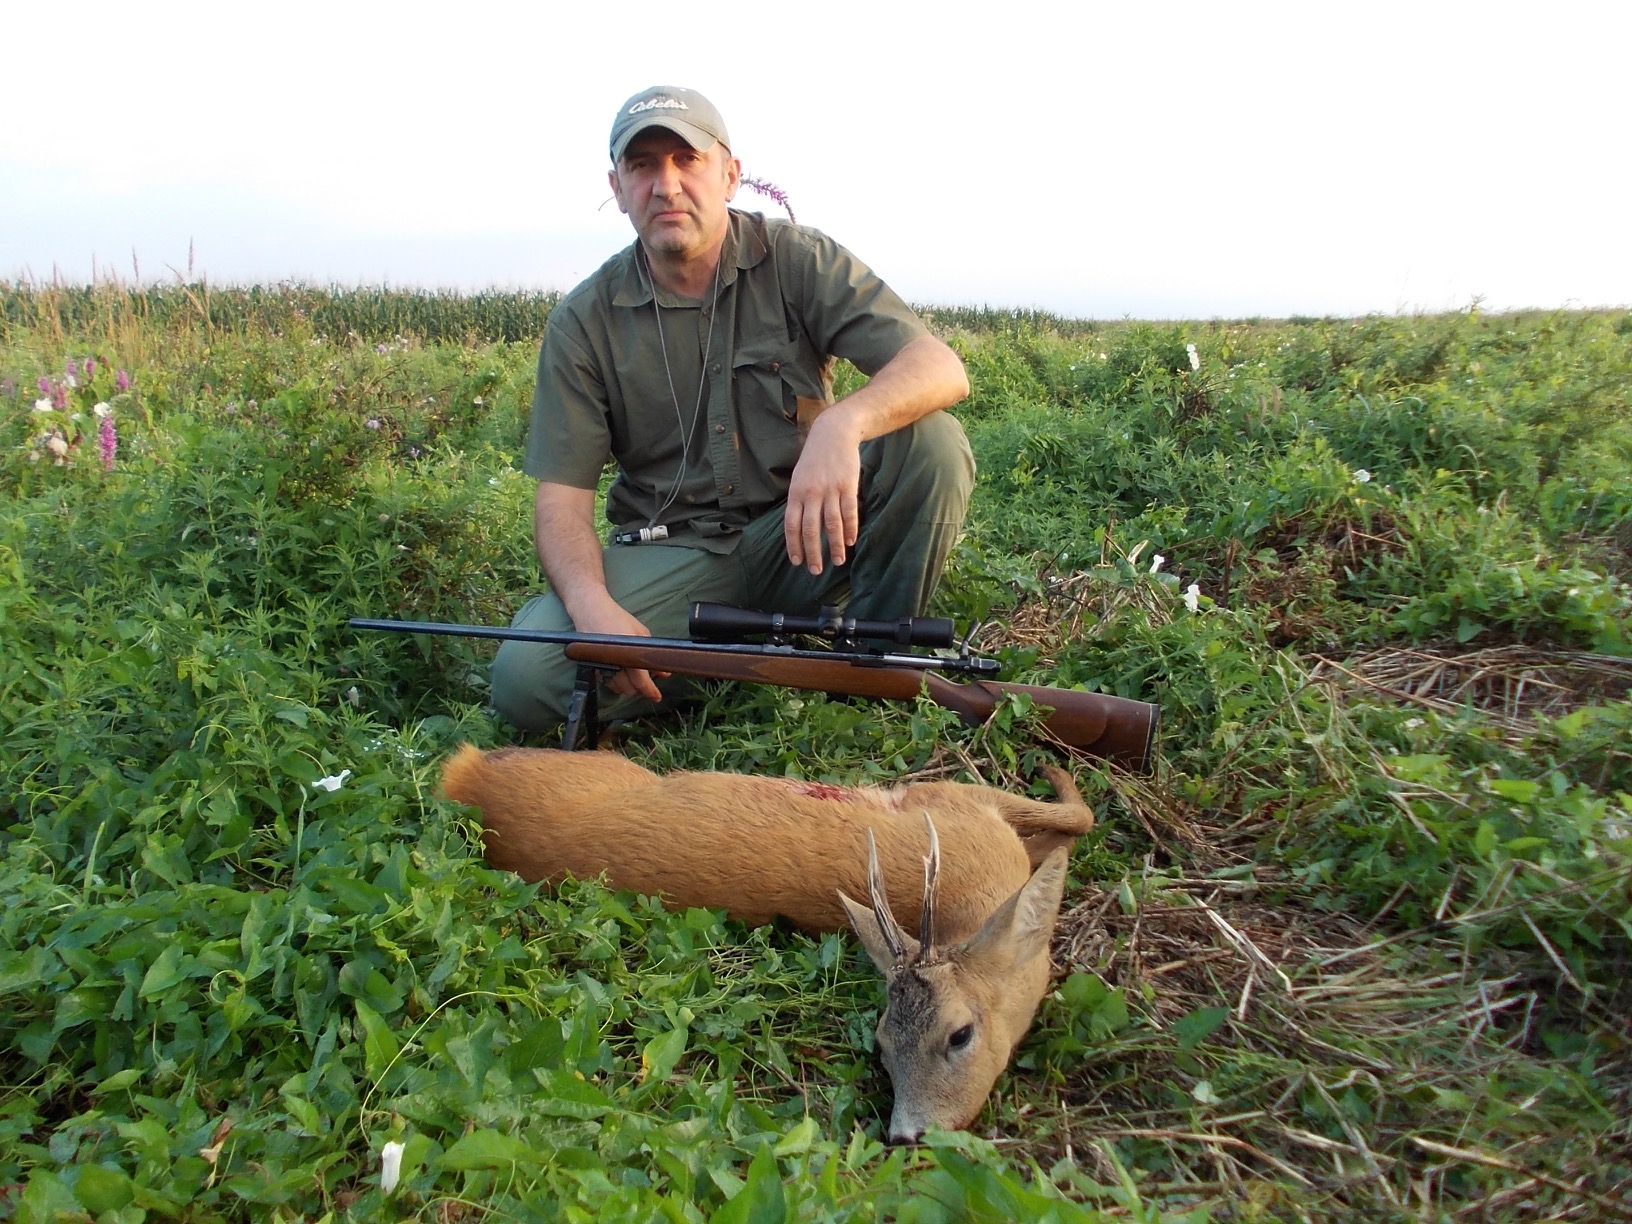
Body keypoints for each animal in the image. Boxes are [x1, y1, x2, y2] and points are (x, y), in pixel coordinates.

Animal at [437, 743, 1093, 1142]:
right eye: (881, 1045)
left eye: (960, 1035)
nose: (907, 1137)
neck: (980, 891)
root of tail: (462, 776)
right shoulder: (951, 799)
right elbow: (1076, 818)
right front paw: (1055, 770)